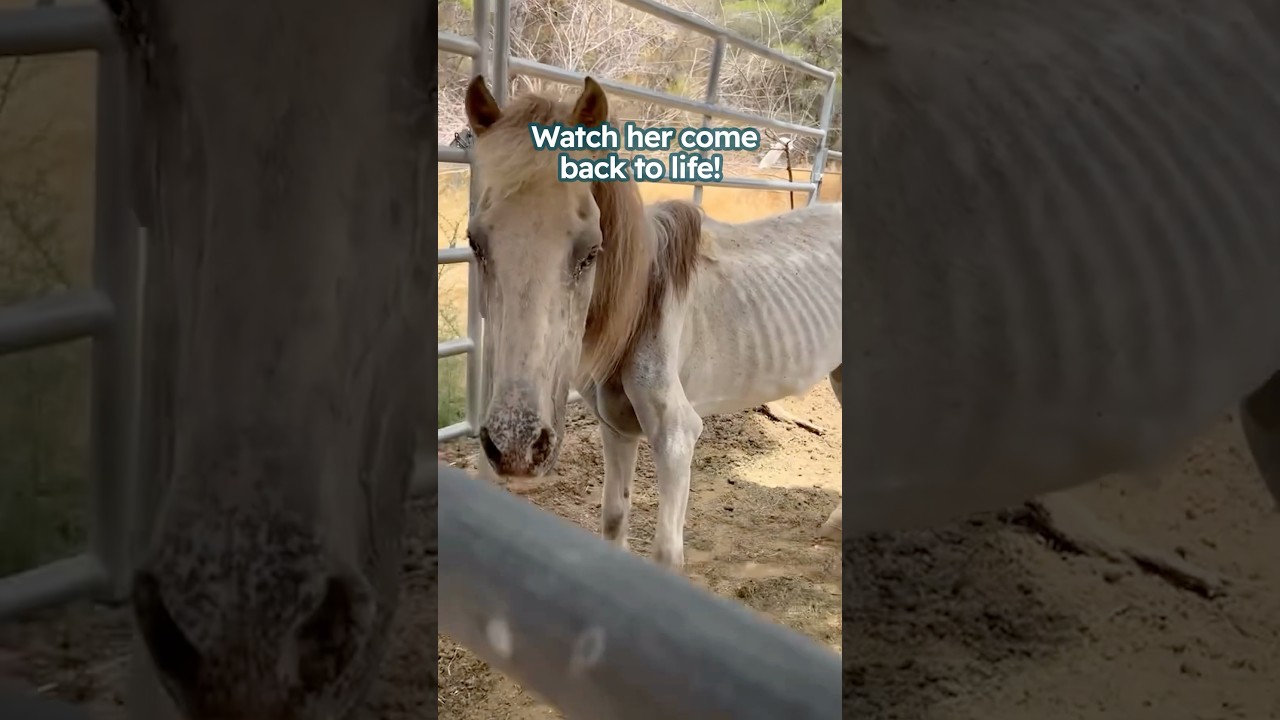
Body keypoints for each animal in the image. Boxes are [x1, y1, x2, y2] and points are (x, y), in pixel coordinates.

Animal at [463, 75, 843, 570]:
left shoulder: (676, 438)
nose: (516, 447)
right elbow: (613, 519)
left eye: (591, 250)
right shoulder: (616, 429)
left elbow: (666, 555)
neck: (640, 312)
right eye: (475, 242)